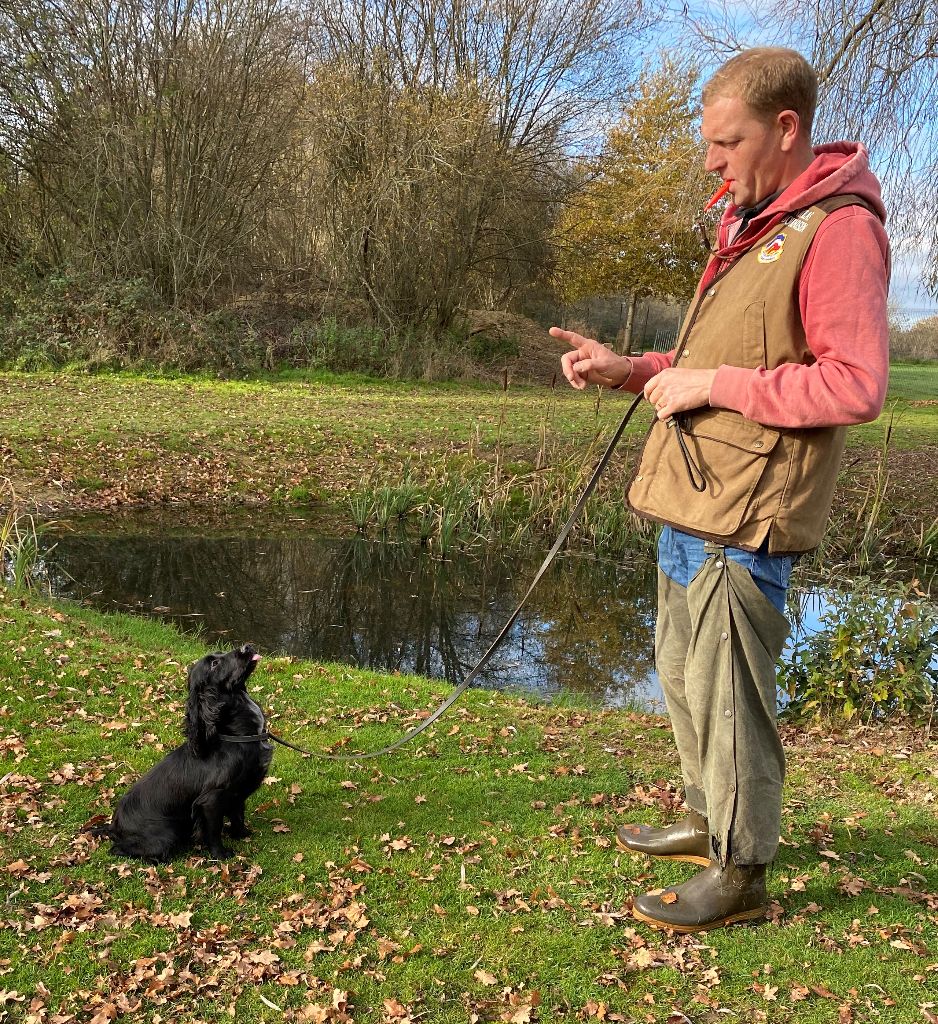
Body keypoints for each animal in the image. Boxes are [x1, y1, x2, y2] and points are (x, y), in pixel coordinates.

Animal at [91, 643, 270, 860]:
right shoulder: (211, 800)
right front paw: (220, 854)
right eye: (214, 664)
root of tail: (114, 827)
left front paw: (242, 834)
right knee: (119, 849)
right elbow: (214, 831)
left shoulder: (238, 792)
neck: (236, 735)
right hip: (166, 835)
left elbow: (238, 816)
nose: (247, 646)